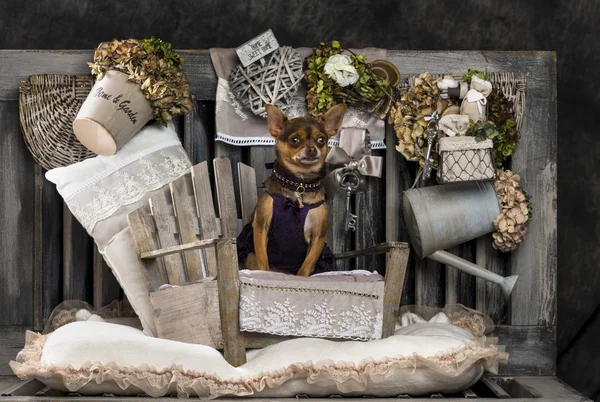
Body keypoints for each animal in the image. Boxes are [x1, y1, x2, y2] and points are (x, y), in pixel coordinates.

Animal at [236, 103, 344, 276]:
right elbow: (263, 260)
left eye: (321, 140)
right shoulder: (260, 227)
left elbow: (305, 267)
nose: (312, 149)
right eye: (294, 140)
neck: (298, 184)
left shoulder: (318, 237)